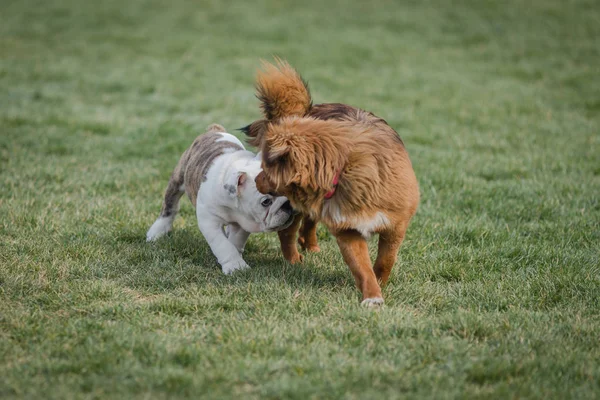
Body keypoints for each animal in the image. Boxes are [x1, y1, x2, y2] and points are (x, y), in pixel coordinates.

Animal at [146, 124, 296, 276]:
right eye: (266, 202)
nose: (287, 204)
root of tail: (215, 130)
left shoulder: (243, 221)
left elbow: (235, 241)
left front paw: (236, 259)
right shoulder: (210, 222)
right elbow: (223, 245)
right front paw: (235, 266)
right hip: (178, 179)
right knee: (170, 206)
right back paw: (157, 232)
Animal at [241, 59, 420, 306]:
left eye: (266, 169)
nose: (255, 180)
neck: (343, 170)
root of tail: (308, 110)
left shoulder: (395, 226)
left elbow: (386, 260)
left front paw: (380, 284)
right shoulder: (347, 231)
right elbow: (362, 268)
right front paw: (372, 296)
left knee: (308, 223)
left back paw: (311, 246)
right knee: (288, 232)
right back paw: (294, 259)